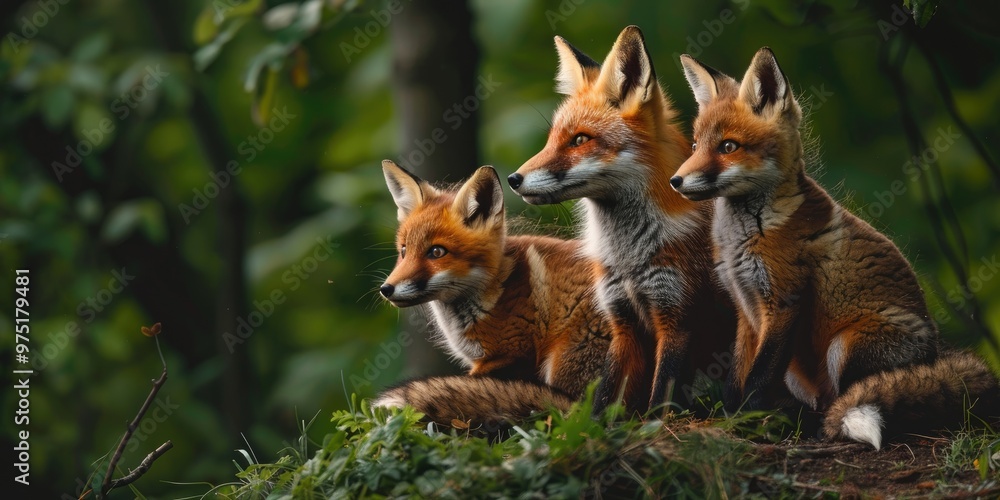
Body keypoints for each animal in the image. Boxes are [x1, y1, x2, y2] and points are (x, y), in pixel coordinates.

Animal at [375, 160, 610, 422]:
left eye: (436, 252)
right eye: (404, 250)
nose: (386, 289)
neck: (497, 288)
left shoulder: (508, 355)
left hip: (565, 361)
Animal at [508, 26, 735, 415]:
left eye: (580, 140)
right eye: (552, 140)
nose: (513, 179)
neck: (629, 258)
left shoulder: (678, 320)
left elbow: (661, 399)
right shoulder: (623, 323)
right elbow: (604, 399)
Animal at [671, 47, 1000, 448]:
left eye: (728, 147)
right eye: (695, 146)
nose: (675, 181)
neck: (746, 235)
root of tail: (934, 354)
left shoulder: (784, 300)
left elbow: (759, 378)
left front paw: (746, 422)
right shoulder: (746, 308)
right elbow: (737, 376)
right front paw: (733, 417)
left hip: (844, 346)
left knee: (843, 400)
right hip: (802, 370)